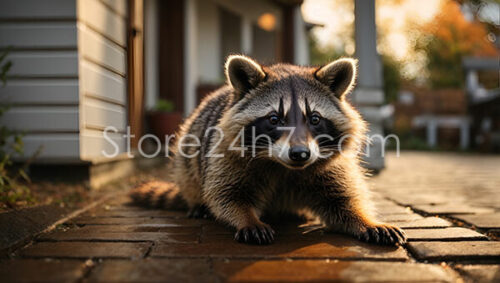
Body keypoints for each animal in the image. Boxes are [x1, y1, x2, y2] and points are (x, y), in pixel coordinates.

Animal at [131, 55, 408, 246]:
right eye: (274, 119)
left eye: (315, 119)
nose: (300, 154)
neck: (283, 165)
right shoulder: (225, 155)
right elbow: (226, 195)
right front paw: (246, 218)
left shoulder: (331, 164)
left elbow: (343, 200)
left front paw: (366, 220)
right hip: (188, 151)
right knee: (190, 173)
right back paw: (197, 202)